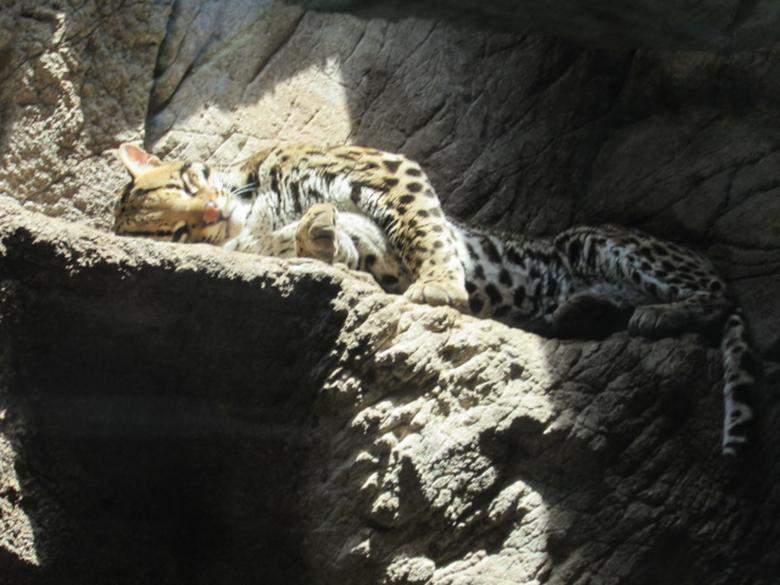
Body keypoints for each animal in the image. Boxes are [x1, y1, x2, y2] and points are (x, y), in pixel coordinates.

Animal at [114, 143, 757, 456]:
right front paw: (318, 234)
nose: (212, 212)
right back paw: (584, 312)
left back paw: (656, 311)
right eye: (176, 232)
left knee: (720, 299)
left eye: (184, 182)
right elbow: (355, 246)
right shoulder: (370, 253)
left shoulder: (383, 167)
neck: (253, 218)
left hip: (597, 242)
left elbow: (420, 225)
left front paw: (443, 282)